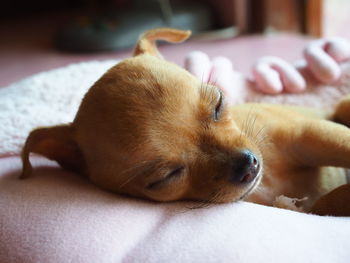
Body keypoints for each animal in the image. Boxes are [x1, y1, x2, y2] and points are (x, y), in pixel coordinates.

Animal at [19, 27, 350, 217]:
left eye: (218, 104)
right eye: (165, 178)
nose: (248, 166)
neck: (268, 182)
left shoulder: (308, 133)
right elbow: (324, 205)